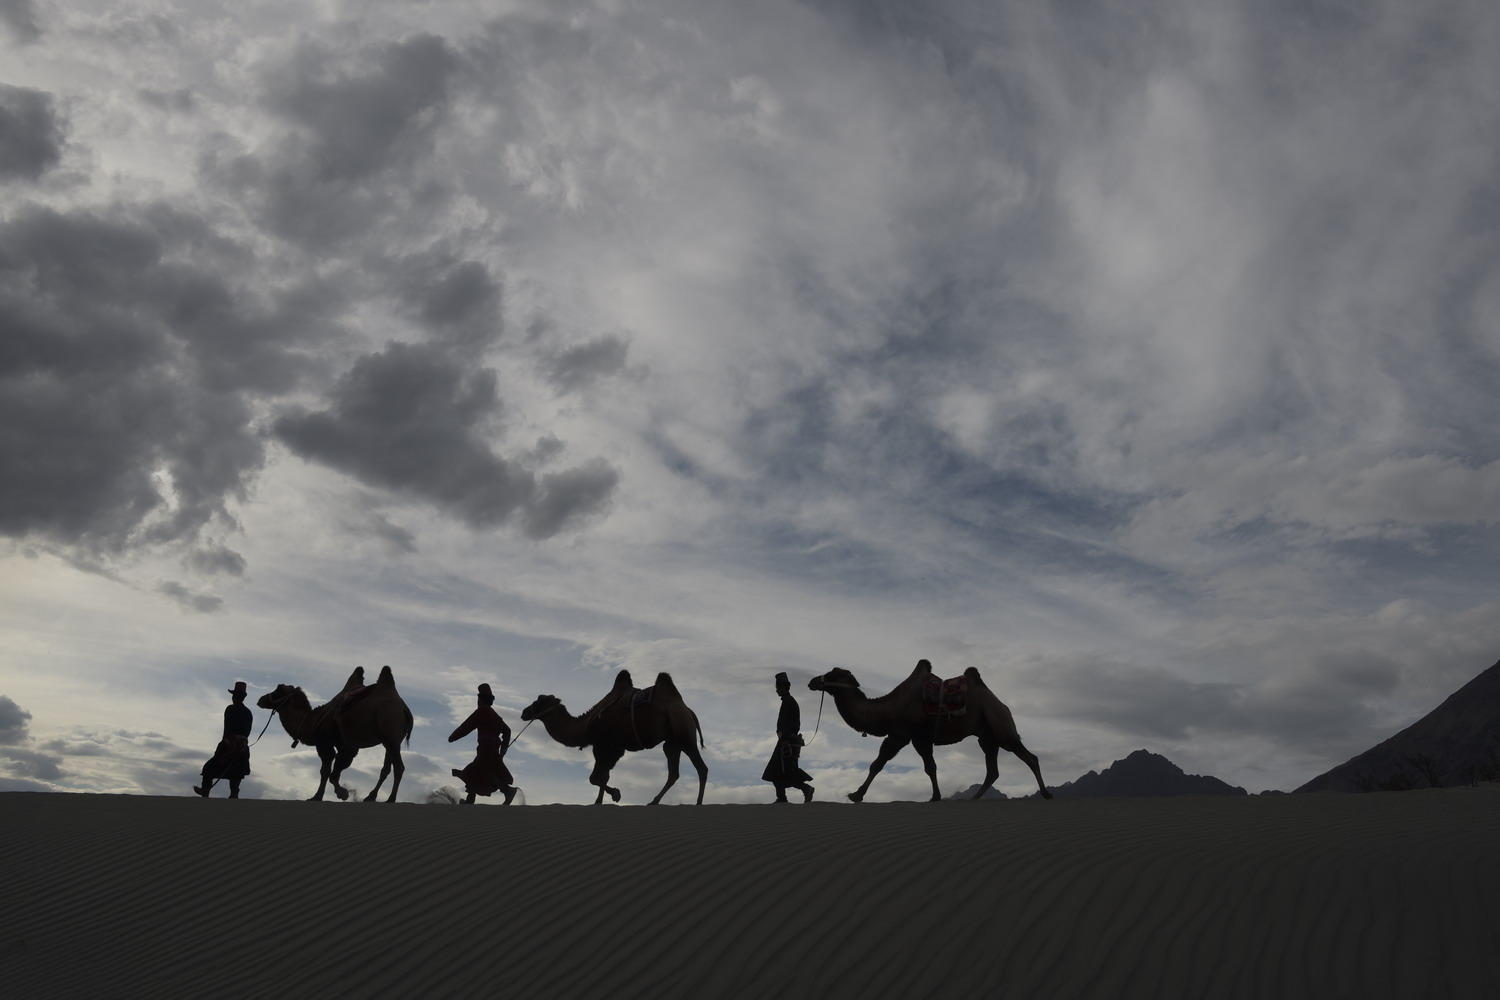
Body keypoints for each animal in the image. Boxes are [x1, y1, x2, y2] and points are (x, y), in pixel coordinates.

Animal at [256, 665, 411, 803]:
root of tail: (404, 709)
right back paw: (370, 797)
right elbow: (332, 771)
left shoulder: (327, 743)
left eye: (277, 691)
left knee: (399, 767)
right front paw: (328, 794)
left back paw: (390, 799)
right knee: (386, 768)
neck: (312, 721)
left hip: (390, 734)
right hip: (391, 741)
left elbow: (327, 772)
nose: (260, 700)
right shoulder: (346, 746)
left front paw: (335, 794)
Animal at [522, 671, 708, 803]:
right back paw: (653, 801)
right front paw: (605, 798)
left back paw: (698, 802)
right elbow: (601, 777)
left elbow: (596, 777)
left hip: (684, 734)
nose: (524, 712)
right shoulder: (614, 749)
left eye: (538, 701)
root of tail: (688, 710)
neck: (586, 725)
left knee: (701, 768)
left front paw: (613, 796)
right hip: (671, 742)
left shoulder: (605, 746)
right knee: (673, 772)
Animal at [816, 659, 1050, 803]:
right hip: (987, 737)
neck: (888, 708)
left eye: (832, 673)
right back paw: (973, 798)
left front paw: (856, 794)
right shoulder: (918, 738)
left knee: (1030, 757)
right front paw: (936, 796)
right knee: (993, 770)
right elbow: (929, 767)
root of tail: (1004, 706)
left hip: (1001, 728)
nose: (812, 681)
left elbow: (879, 763)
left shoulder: (903, 735)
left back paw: (1046, 794)